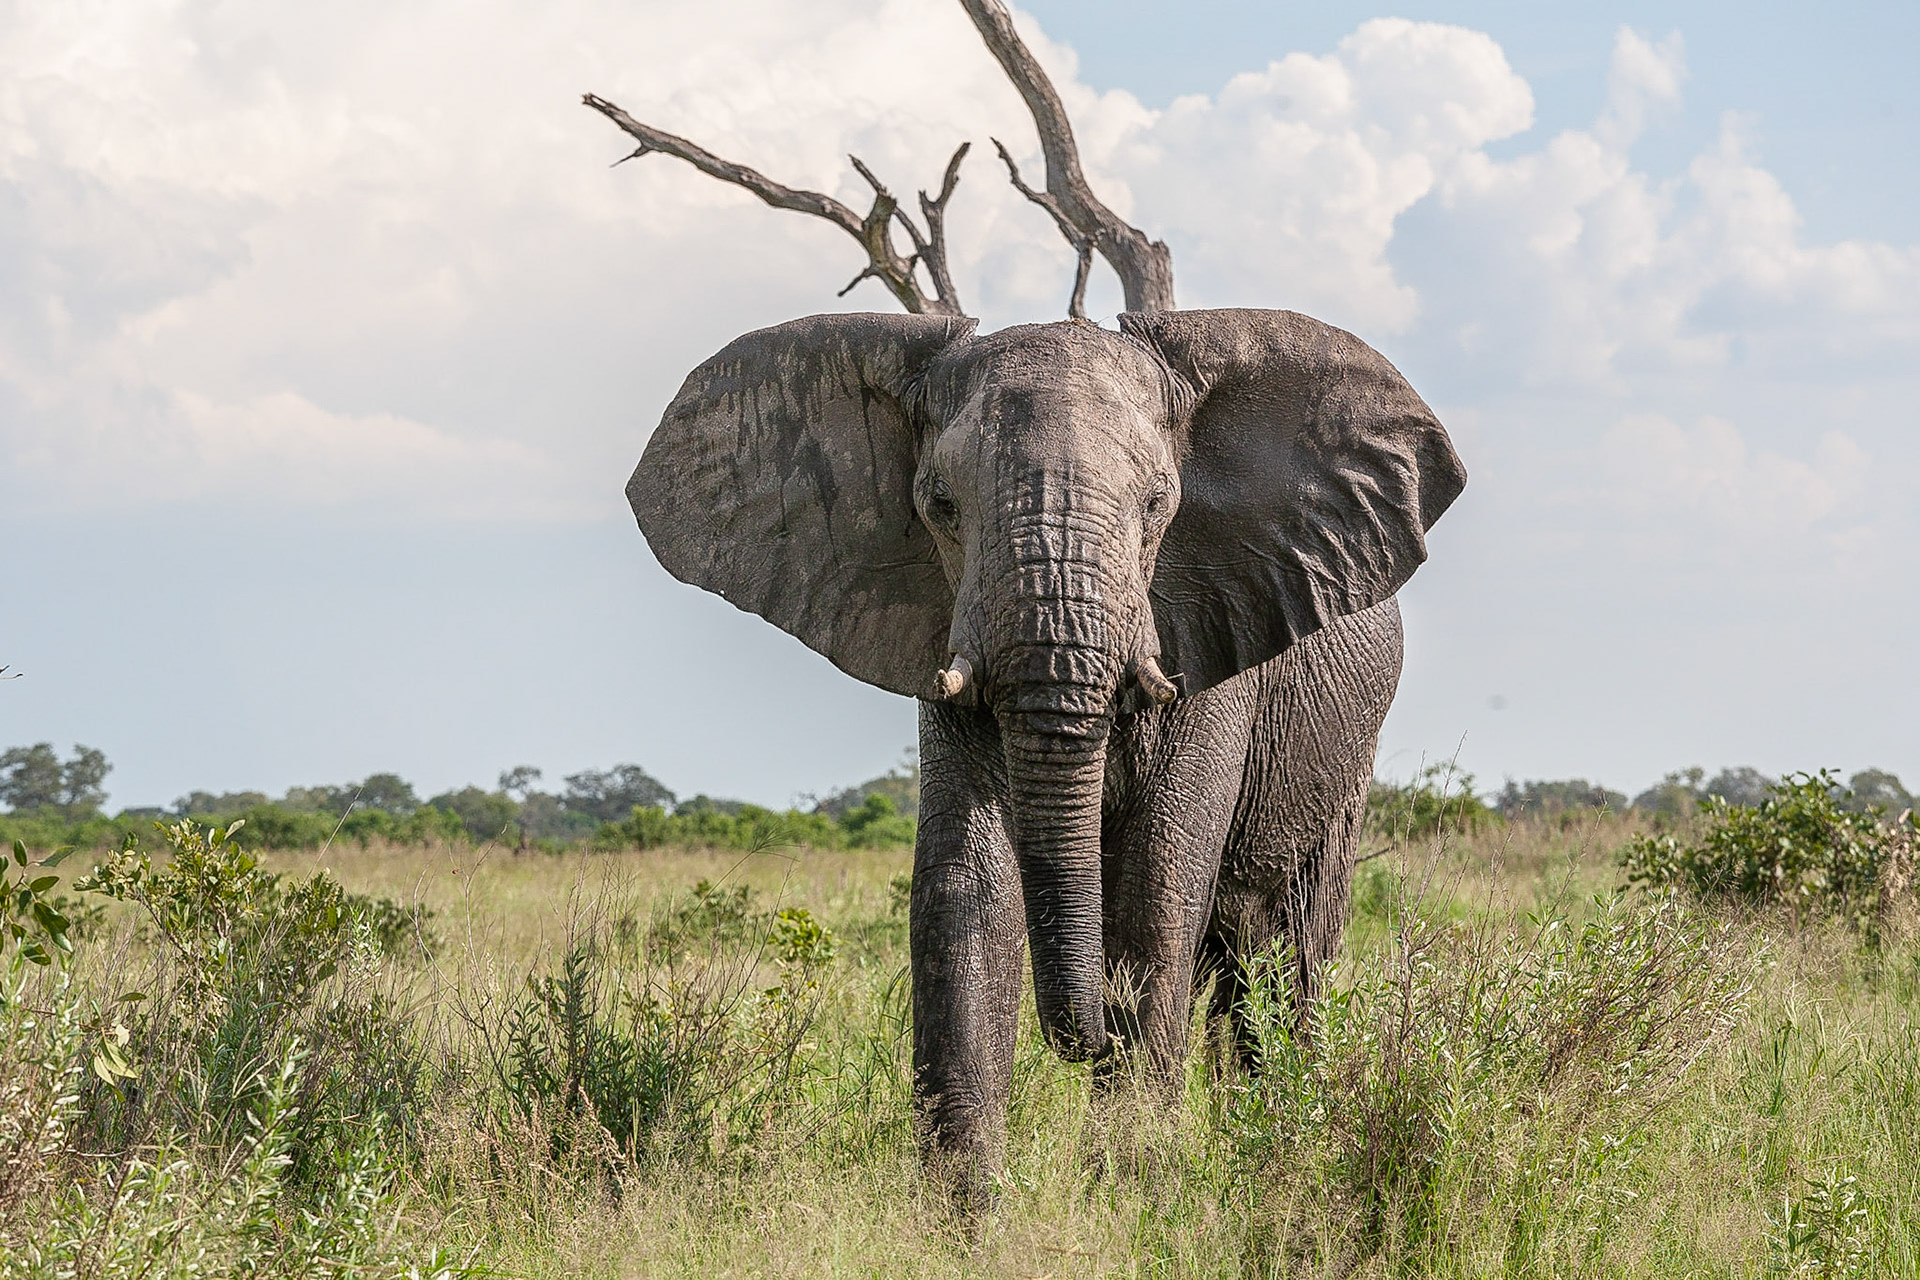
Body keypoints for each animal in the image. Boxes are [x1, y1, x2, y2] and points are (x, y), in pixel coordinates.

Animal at [591, 0, 1459, 1189]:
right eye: (939, 504)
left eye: (1157, 506)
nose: (1085, 1028)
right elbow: (965, 895)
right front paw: (969, 1206)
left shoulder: (1212, 638)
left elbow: (1158, 897)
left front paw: (1137, 1185)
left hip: (1347, 740)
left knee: (1282, 949)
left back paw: (1276, 1141)